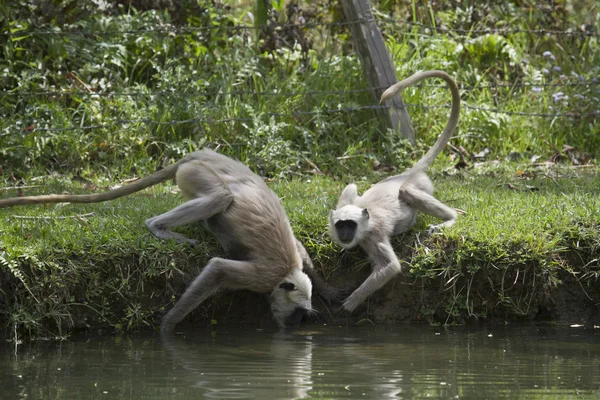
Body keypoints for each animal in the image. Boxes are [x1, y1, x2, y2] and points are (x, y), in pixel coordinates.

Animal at [0, 148, 344, 330]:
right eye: (297, 314)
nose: (295, 324)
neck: (286, 272)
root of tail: (204, 154)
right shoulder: (263, 276)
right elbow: (218, 269)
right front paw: (167, 327)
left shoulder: (292, 258)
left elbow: (302, 250)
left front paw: (327, 289)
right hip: (196, 175)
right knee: (220, 197)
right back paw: (158, 227)